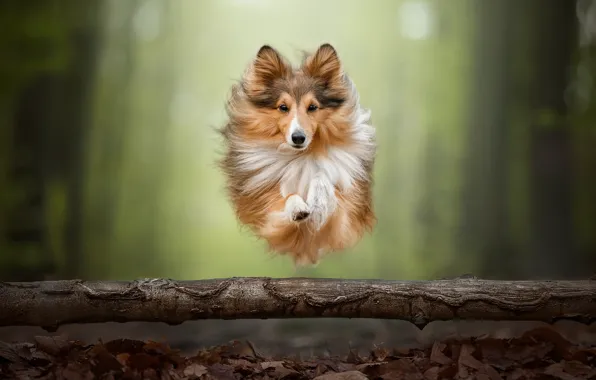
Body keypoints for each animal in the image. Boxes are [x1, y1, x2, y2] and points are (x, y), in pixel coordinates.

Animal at [219, 43, 378, 266]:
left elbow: (322, 180)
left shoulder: (344, 216)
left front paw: (319, 200)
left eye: (312, 107)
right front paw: (298, 209)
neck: (301, 155)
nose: (298, 137)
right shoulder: (266, 211)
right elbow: (285, 198)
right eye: (283, 107)